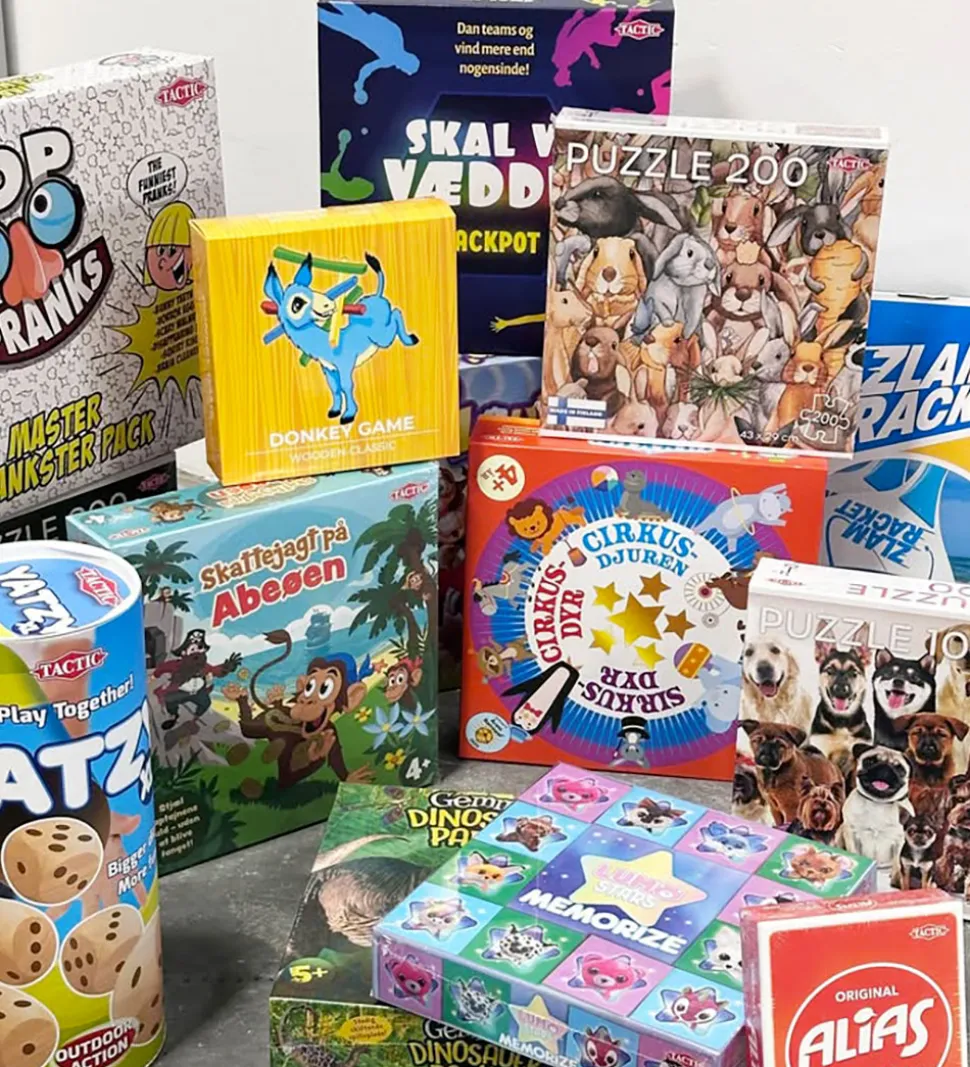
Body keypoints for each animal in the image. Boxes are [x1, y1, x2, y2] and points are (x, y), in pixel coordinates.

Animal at [838, 742, 913, 872]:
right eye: (870, 761)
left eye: (899, 769)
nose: (884, 768)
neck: (877, 803)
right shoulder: (851, 833)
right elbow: (853, 851)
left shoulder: (898, 840)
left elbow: (896, 863)